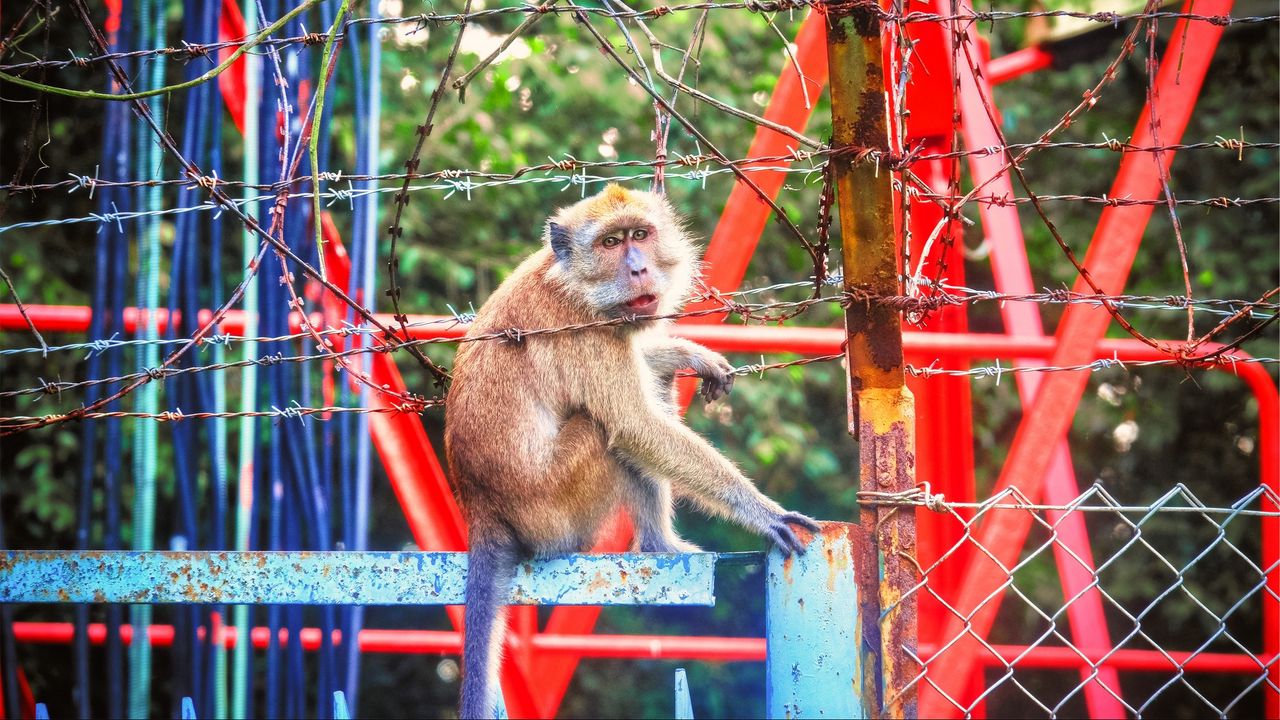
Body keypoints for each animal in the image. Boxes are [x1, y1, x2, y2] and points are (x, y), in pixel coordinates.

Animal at [445, 181, 814, 712]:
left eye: (640, 234)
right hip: (555, 511)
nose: (639, 267)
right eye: (610, 243)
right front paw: (763, 513)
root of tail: (480, 506)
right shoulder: (586, 331)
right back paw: (660, 545)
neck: (573, 281)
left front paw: (687, 353)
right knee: (607, 431)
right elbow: (635, 426)